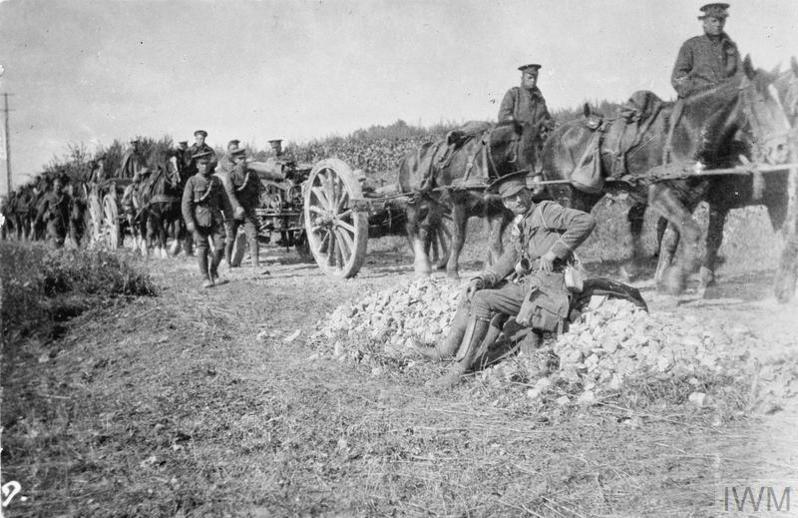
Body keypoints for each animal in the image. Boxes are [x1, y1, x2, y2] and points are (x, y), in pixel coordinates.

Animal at [398, 120, 544, 280]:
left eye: (542, 147)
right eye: (526, 147)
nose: (537, 188)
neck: (483, 163)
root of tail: (406, 158)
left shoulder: (497, 210)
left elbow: (495, 241)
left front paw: (499, 269)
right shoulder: (459, 206)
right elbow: (458, 239)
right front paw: (452, 272)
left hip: (436, 206)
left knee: (427, 229)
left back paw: (427, 267)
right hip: (413, 202)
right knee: (412, 229)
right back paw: (420, 265)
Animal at [540, 55, 796, 300]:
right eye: (761, 100)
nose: (782, 150)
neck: (688, 135)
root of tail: (554, 136)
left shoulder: (691, 198)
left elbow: (675, 237)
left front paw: (668, 279)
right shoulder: (664, 195)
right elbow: (693, 233)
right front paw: (676, 281)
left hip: (587, 195)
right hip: (566, 194)